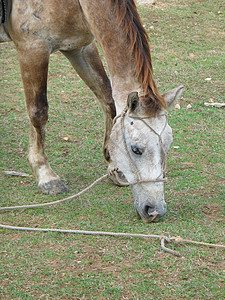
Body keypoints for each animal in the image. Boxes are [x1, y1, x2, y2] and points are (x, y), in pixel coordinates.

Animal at [0, 0, 183, 223]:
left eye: (168, 145)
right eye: (136, 149)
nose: (155, 211)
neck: (75, 4)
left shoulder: (81, 47)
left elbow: (107, 98)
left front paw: (112, 165)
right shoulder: (32, 49)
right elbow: (38, 112)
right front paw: (45, 175)